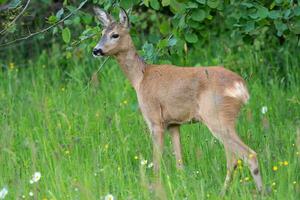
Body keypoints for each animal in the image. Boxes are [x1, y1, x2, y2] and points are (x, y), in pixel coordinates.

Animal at [92, 7, 262, 193]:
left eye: (115, 35)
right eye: (101, 33)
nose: (96, 50)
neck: (140, 78)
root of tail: (241, 87)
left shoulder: (155, 120)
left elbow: (156, 162)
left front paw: (156, 188)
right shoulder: (174, 123)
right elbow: (179, 161)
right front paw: (182, 185)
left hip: (216, 116)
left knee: (248, 155)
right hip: (225, 120)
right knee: (233, 159)